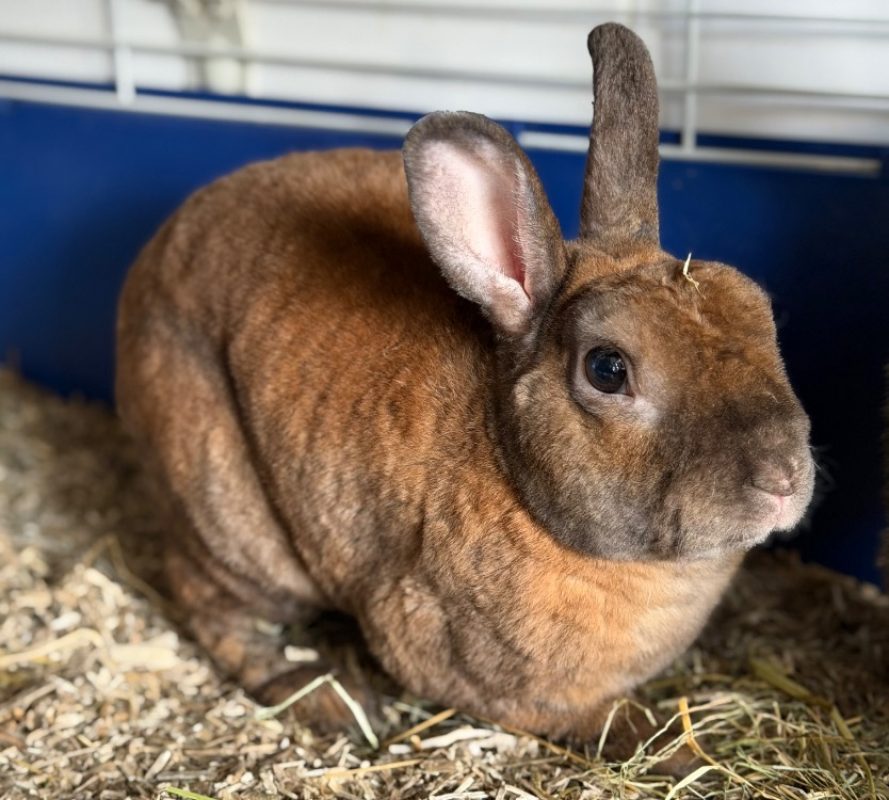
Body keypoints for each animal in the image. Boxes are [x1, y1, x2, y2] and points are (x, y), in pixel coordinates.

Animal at [115, 22, 815, 748]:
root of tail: (152, 257)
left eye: (760, 311)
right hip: (226, 515)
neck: (510, 466)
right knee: (217, 611)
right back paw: (329, 698)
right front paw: (666, 743)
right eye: (607, 369)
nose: (783, 479)